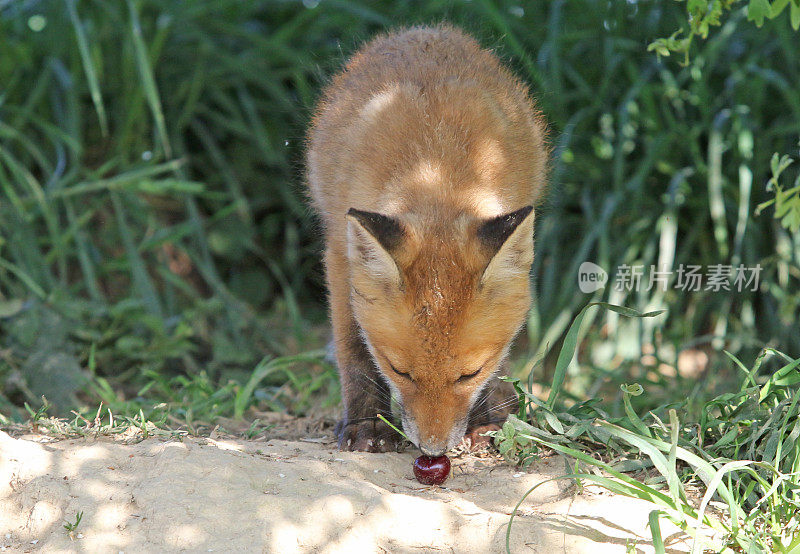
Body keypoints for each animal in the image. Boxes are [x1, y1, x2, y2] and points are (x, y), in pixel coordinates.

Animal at [304, 24, 548, 452]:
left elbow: (501, 355)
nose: (433, 449)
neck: (435, 168)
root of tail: (422, 31)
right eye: (399, 370)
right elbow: (353, 347)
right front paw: (367, 424)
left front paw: (491, 419)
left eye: (470, 373)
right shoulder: (338, 251)